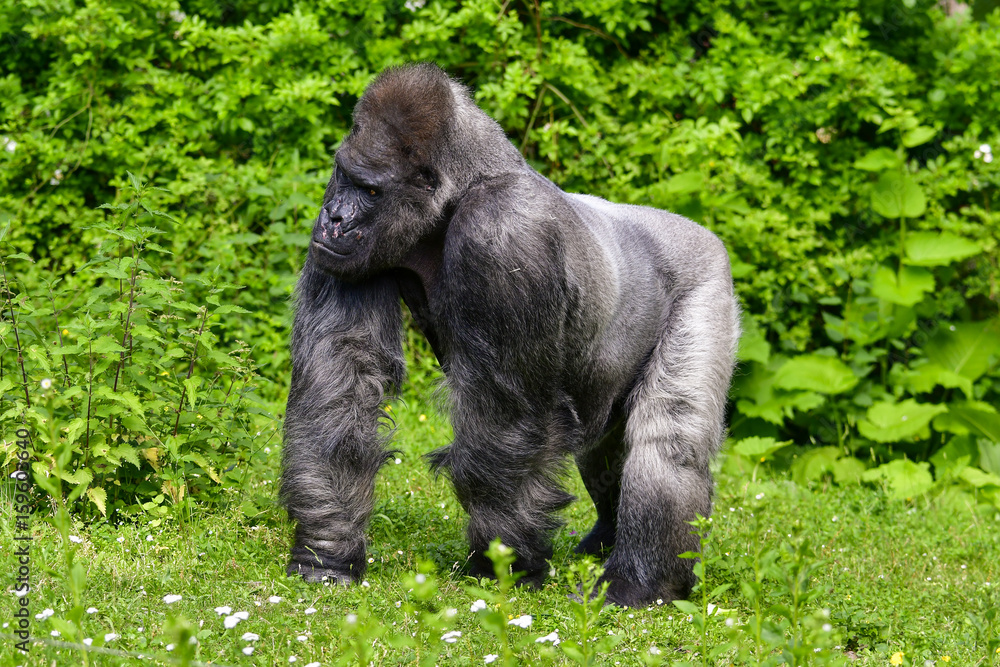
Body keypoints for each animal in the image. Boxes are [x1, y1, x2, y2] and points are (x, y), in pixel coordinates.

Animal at [281, 63, 740, 607]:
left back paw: (642, 581)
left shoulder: (503, 232)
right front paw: (327, 553)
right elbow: (342, 376)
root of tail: (701, 231)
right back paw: (606, 540)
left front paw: (503, 563)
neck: (463, 188)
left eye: (370, 192)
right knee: (603, 451)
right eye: (346, 178)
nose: (333, 218)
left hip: (707, 278)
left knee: (668, 438)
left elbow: (506, 420)